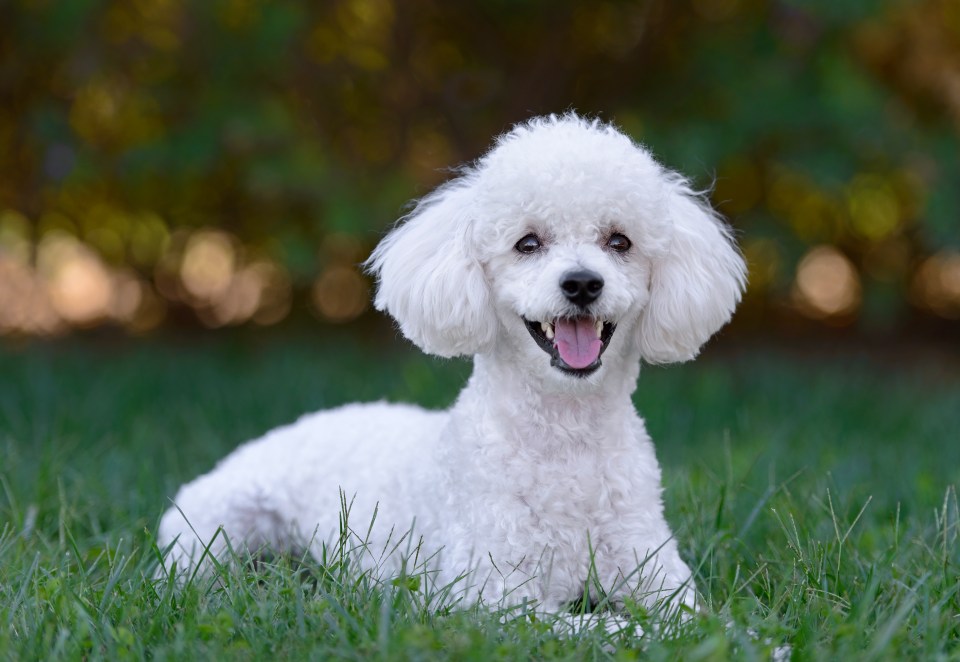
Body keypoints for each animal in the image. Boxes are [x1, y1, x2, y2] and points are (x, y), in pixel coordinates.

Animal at [158, 115, 748, 624]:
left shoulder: (654, 569)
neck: (566, 440)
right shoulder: (495, 599)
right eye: (528, 243)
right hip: (216, 526)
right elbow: (606, 630)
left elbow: (701, 623)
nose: (582, 283)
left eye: (619, 241)